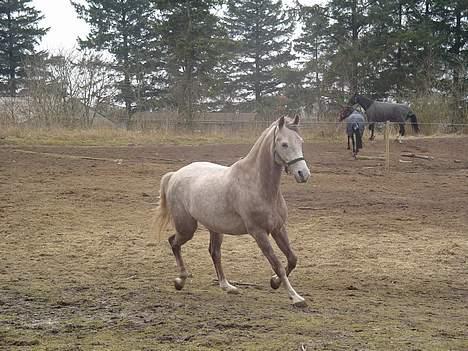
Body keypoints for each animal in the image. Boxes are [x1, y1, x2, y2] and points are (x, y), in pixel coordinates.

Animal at [154, 116, 312, 308]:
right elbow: (277, 264)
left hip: (214, 228)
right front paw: (295, 297)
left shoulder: (278, 228)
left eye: (300, 141)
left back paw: (227, 286)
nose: (303, 174)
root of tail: (175, 174)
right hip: (187, 228)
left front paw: (274, 282)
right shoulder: (259, 233)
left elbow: (292, 259)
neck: (258, 185)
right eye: (284, 144)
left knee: (214, 252)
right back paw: (180, 280)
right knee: (174, 242)